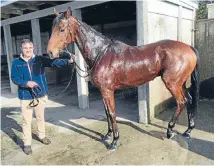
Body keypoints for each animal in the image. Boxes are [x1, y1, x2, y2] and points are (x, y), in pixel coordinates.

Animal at [46, 7, 199, 150]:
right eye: (52, 28)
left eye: (62, 29)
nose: (50, 52)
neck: (101, 54)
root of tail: (189, 48)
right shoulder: (103, 91)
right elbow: (107, 113)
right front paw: (107, 135)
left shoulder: (108, 91)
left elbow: (112, 113)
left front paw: (114, 141)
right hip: (181, 83)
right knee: (189, 99)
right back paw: (188, 131)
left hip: (172, 83)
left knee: (181, 102)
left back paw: (170, 131)